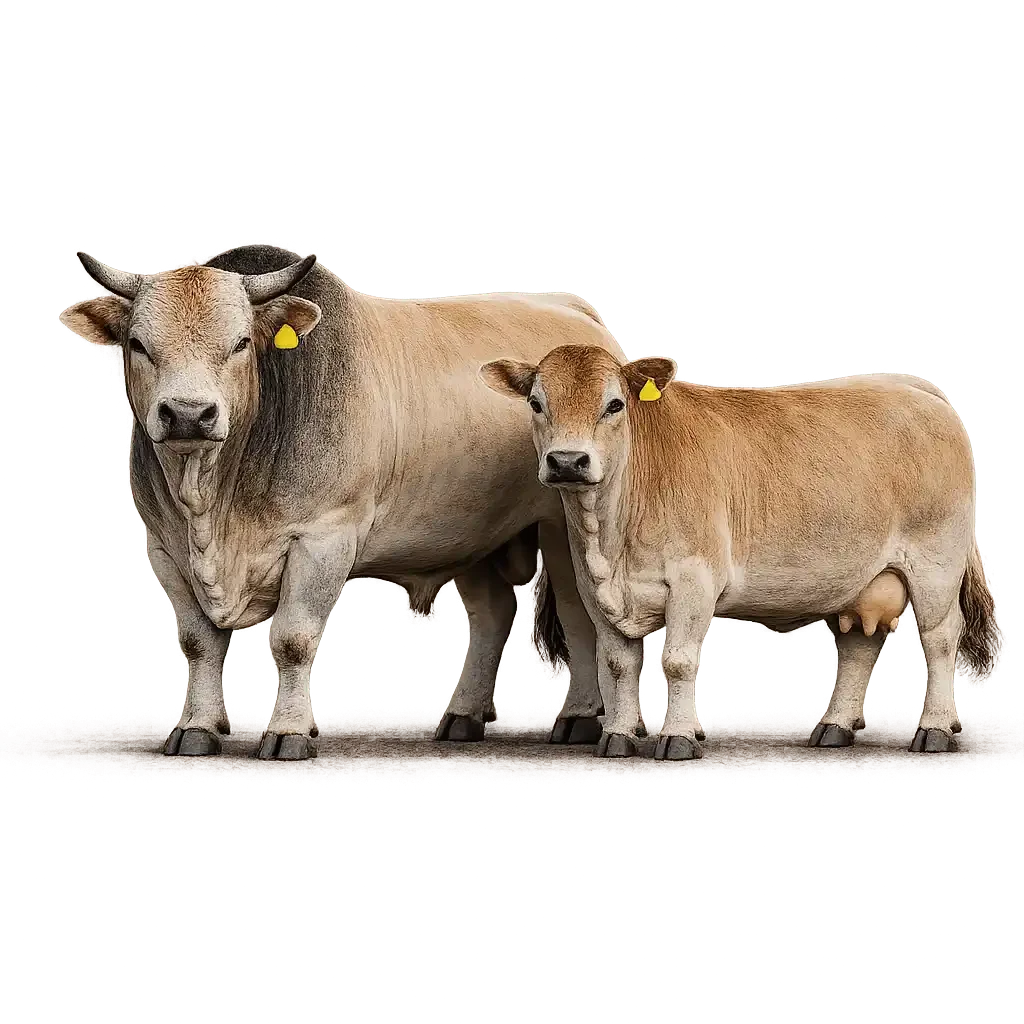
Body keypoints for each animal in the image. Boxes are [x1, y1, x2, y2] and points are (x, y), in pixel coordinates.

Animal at [56, 245, 632, 760]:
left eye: (240, 343)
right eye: (138, 344)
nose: (188, 414)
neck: (214, 503)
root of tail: (579, 315)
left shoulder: (322, 540)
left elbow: (292, 639)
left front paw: (289, 733)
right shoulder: (166, 550)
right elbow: (200, 643)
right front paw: (197, 727)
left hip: (562, 526)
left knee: (578, 616)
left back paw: (578, 717)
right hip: (469, 533)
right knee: (491, 614)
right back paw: (463, 715)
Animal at [480, 344, 998, 758]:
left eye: (614, 404)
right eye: (535, 402)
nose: (568, 461)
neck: (611, 543)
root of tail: (908, 384)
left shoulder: (694, 580)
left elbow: (678, 660)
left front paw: (679, 737)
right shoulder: (595, 592)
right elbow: (618, 665)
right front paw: (620, 736)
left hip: (936, 564)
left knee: (939, 639)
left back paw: (935, 729)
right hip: (860, 579)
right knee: (858, 645)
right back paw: (834, 727)